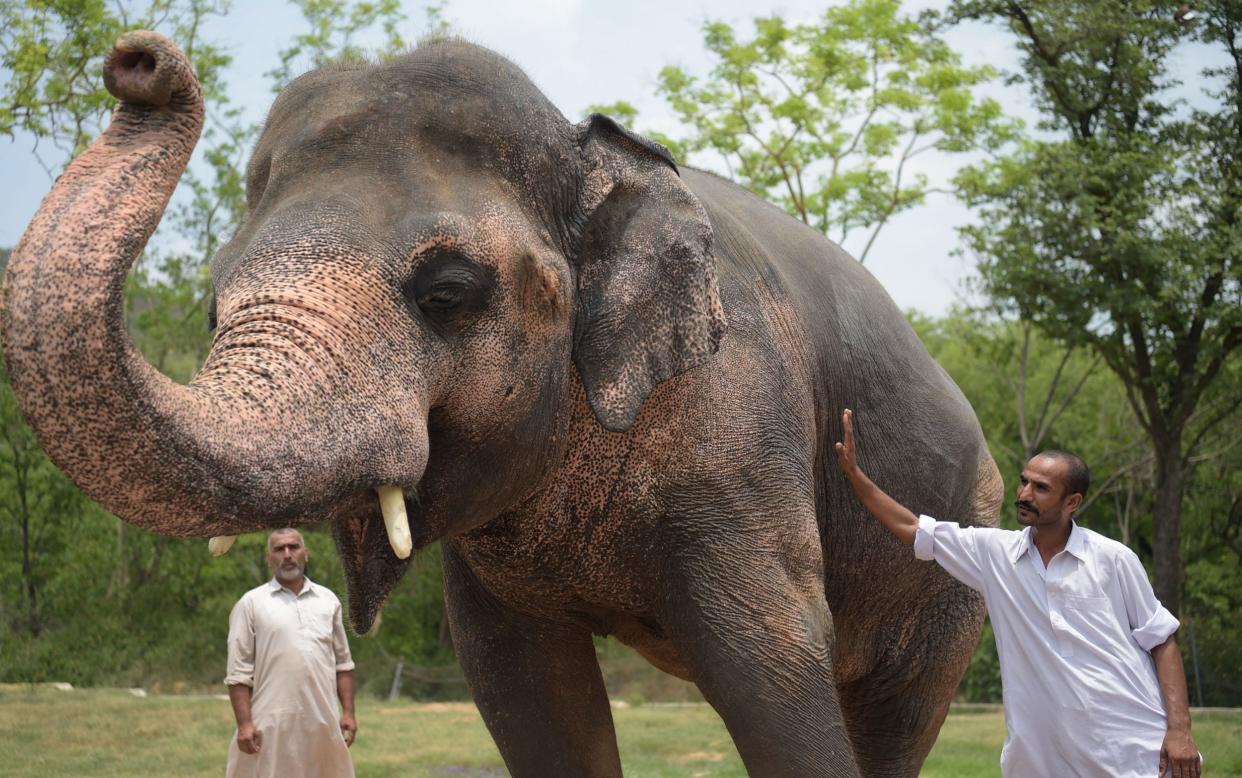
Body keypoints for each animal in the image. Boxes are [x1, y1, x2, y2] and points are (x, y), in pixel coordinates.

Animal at [2, 31, 998, 775]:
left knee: (891, 719)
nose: (139, 61)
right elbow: (523, 690)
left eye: (447, 290)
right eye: (212, 309)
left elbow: (773, 670)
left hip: (957, 557)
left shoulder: (741, 432)